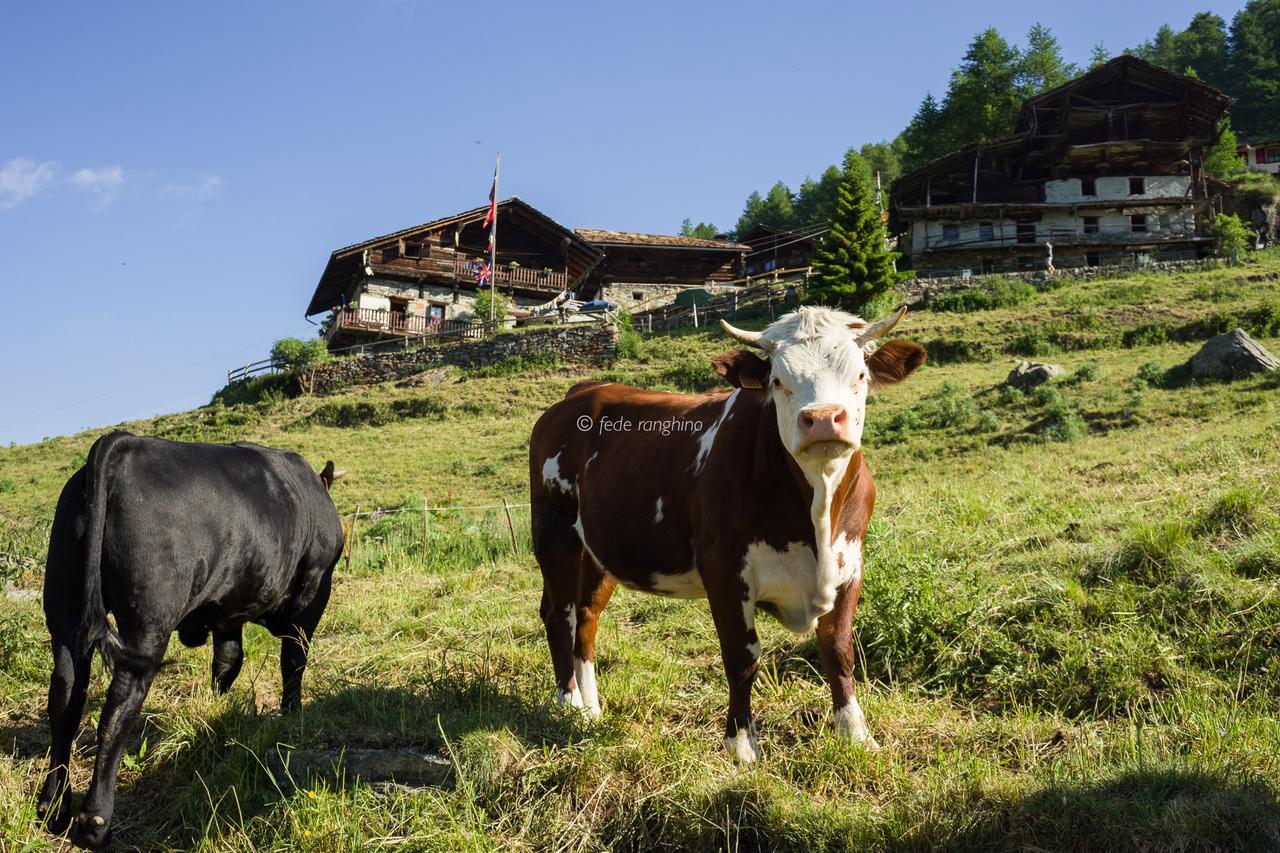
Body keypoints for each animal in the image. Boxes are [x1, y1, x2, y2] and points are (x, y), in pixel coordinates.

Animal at [36, 435, 345, 845]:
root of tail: (124, 443)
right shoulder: (312, 593)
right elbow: (293, 661)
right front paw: (292, 713)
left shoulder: (228, 610)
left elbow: (228, 661)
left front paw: (217, 708)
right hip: (148, 620)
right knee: (118, 707)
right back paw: (95, 822)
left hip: (64, 612)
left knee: (65, 700)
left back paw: (52, 808)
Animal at [524, 303, 926, 758]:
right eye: (777, 380)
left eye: (860, 375)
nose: (823, 420)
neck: (819, 509)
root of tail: (585, 389)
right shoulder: (726, 572)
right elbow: (742, 658)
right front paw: (741, 745)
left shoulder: (850, 565)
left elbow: (838, 650)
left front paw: (855, 734)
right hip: (554, 534)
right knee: (560, 614)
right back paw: (569, 704)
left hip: (599, 550)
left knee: (587, 616)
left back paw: (591, 709)